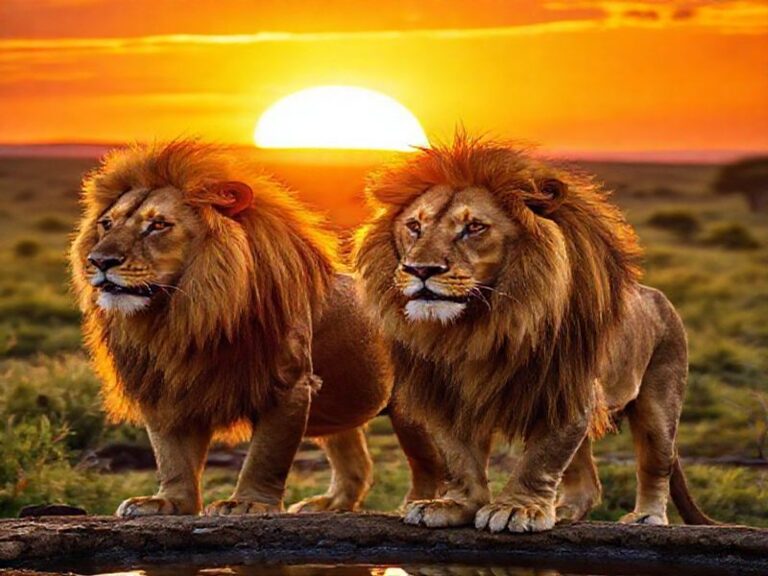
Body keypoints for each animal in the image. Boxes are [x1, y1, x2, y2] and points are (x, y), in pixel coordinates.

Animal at [70, 140, 444, 517]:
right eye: (106, 224)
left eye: (158, 225)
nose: (98, 261)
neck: (181, 315)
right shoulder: (164, 385)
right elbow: (171, 456)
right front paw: (167, 502)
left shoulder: (289, 384)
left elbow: (266, 455)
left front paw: (246, 502)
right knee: (356, 462)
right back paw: (328, 505)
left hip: (411, 414)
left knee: (429, 464)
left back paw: (419, 505)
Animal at [353, 134, 715, 533]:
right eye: (415, 226)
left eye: (474, 227)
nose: (420, 269)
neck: (475, 328)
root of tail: (657, 295)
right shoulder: (443, 392)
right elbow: (458, 457)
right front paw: (455, 504)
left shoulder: (563, 385)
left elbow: (542, 457)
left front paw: (516, 508)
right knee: (586, 480)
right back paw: (564, 511)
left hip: (658, 400)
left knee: (655, 463)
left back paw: (647, 515)